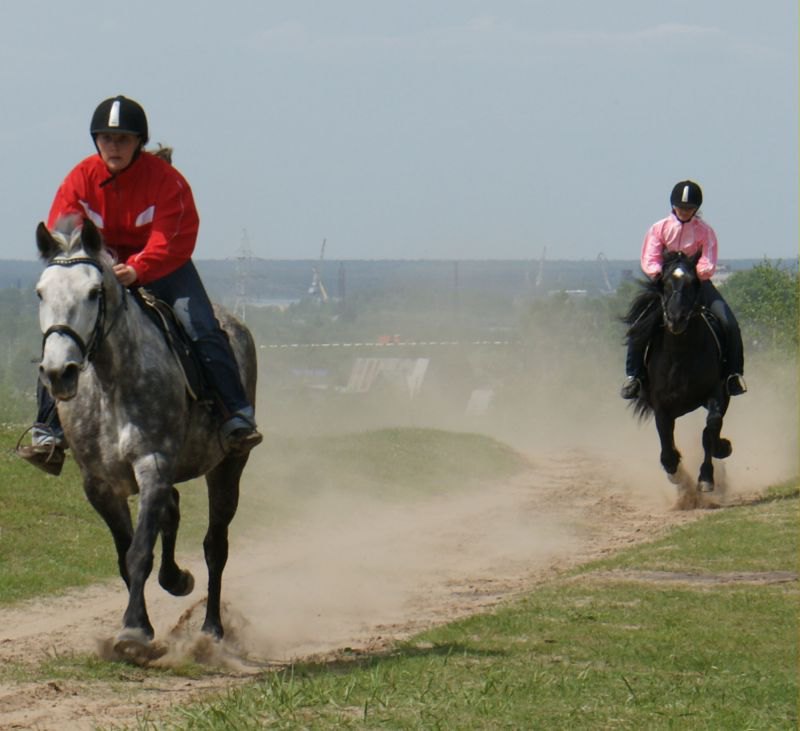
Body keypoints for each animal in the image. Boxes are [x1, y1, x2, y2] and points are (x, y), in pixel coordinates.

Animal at [35, 220, 256, 660]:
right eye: (40, 292)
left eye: (94, 292)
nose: (58, 372)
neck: (111, 382)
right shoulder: (100, 484)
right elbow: (125, 554)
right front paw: (140, 623)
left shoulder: (153, 466)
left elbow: (139, 552)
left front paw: (134, 632)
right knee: (173, 512)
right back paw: (177, 579)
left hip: (227, 467)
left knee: (215, 545)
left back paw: (212, 628)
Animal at [620, 249, 736, 494]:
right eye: (664, 282)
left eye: (693, 282)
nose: (676, 318)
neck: (681, 355)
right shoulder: (662, 408)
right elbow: (668, 455)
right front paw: (681, 482)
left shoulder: (717, 393)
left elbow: (711, 429)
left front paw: (707, 476)